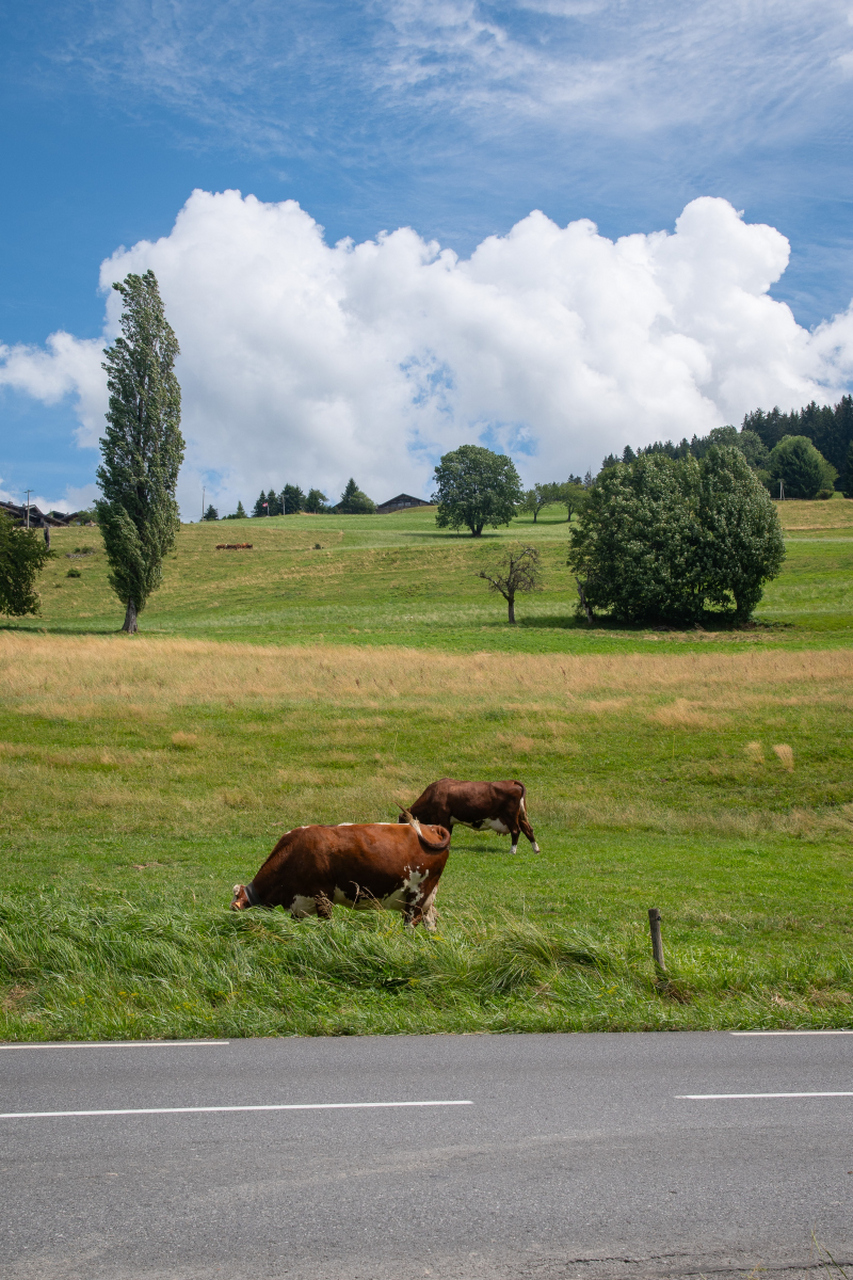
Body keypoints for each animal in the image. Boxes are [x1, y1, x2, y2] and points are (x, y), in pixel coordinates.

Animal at [225, 819, 450, 931]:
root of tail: (431, 828)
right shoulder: (298, 902)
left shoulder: (323, 897)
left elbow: (326, 925)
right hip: (426, 897)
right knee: (431, 921)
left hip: (417, 895)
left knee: (410, 923)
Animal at [399, 773, 537, 855]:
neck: (433, 794)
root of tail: (511, 782)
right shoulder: (449, 821)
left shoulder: (443, 817)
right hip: (520, 816)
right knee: (528, 829)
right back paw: (536, 849)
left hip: (510, 816)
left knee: (516, 831)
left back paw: (512, 851)